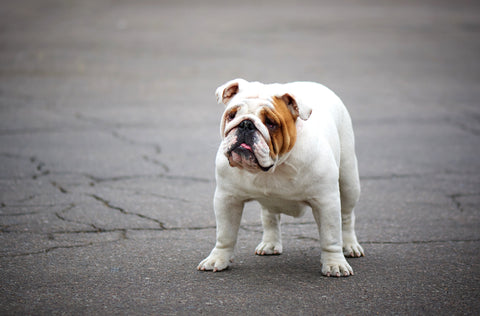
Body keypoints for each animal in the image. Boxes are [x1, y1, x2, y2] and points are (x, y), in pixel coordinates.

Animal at [197, 79, 362, 276]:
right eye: (232, 115)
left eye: (271, 123)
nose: (246, 124)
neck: (274, 167)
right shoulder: (227, 199)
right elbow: (225, 235)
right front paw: (217, 259)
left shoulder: (326, 202)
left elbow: (331, 238)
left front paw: (335, 263)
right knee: (270, 216)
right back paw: (270, 243)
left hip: (348, 182)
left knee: (347, 216)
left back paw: (350, 246)